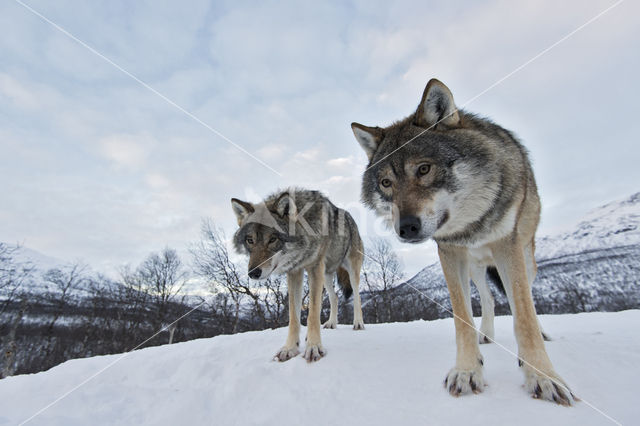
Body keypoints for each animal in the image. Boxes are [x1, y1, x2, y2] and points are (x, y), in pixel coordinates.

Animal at [231, 187, 362, 362]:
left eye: (272, 239)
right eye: (250, 240)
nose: (253, 272)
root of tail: (349, 216)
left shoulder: (314, 268)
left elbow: (312, 313)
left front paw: (313, 347)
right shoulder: (294, 272)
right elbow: (294, 317)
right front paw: (290, 348)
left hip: (350, 270)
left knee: (356, 295)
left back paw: (358, 323)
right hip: (327, 275)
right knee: (334, 297)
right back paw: (331, 323)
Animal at [350, 78, 576, 404]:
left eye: (424, 169)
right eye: (386, 183)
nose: (406, 228)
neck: (472, 225)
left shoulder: (507, 246)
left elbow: (524, 315)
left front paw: (542, 376)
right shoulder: (450, 251)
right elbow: (462, 318)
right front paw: (468, 371)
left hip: (525, 257)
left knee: (526, 299)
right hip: (475, 268)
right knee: (489, 297)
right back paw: (487, 335)